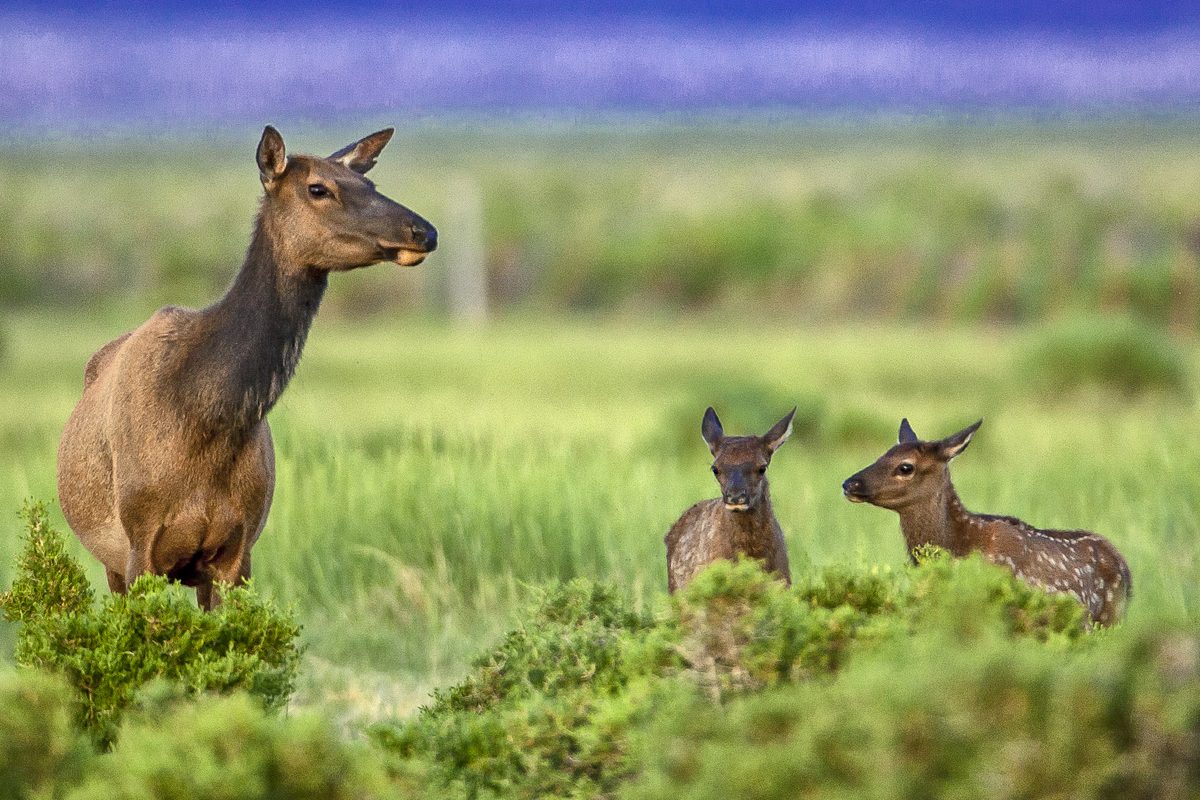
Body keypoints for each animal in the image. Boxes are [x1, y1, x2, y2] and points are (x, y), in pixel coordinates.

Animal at [56, 126, 437, 610]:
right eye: (318, 188)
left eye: (370, 183)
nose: (424, 231)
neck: (206, 421)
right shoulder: (137, 545)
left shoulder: (238, 549)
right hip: (111, 562)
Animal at [842, 418, 1131, 626]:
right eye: (881, 455)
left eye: (906, 467)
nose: (849, 483)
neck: (958, 548)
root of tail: (1126, 569)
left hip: (1107, 618)